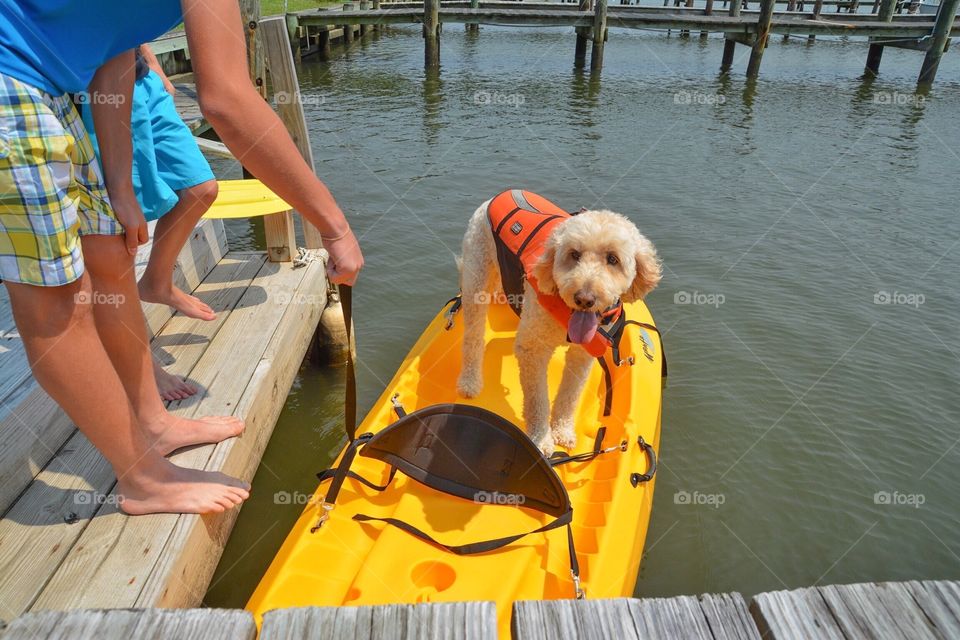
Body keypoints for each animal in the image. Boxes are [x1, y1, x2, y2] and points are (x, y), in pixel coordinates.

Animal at [458, 190, 660, 456]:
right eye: (574, 254)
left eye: (613, 259)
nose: (585, 298)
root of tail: (501, 193)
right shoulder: (533, 350)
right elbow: (537, 399)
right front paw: (542, 439)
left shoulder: (583, 354)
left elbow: (569, 395)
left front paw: (562, 431)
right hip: (476, 277)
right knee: (472, 337)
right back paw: (469, 382)